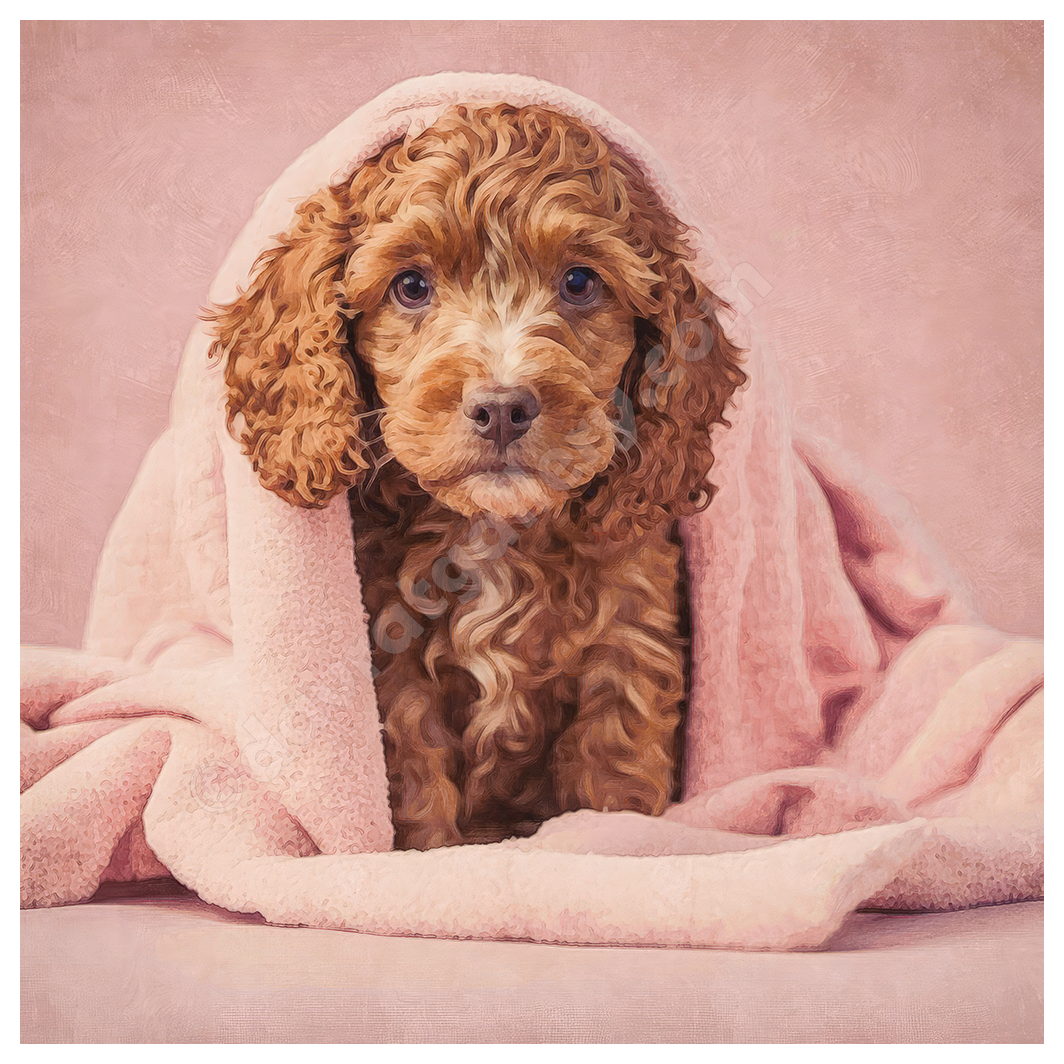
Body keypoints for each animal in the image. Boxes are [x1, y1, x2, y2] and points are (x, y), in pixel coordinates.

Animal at [205, 103, 740, 851]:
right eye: (411, 286)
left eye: (580, 282)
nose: (502, 407)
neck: (492, 534)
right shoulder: (389, 670)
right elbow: (414, 784)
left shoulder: (628, 642)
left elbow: (613, 774)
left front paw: (613, 837)